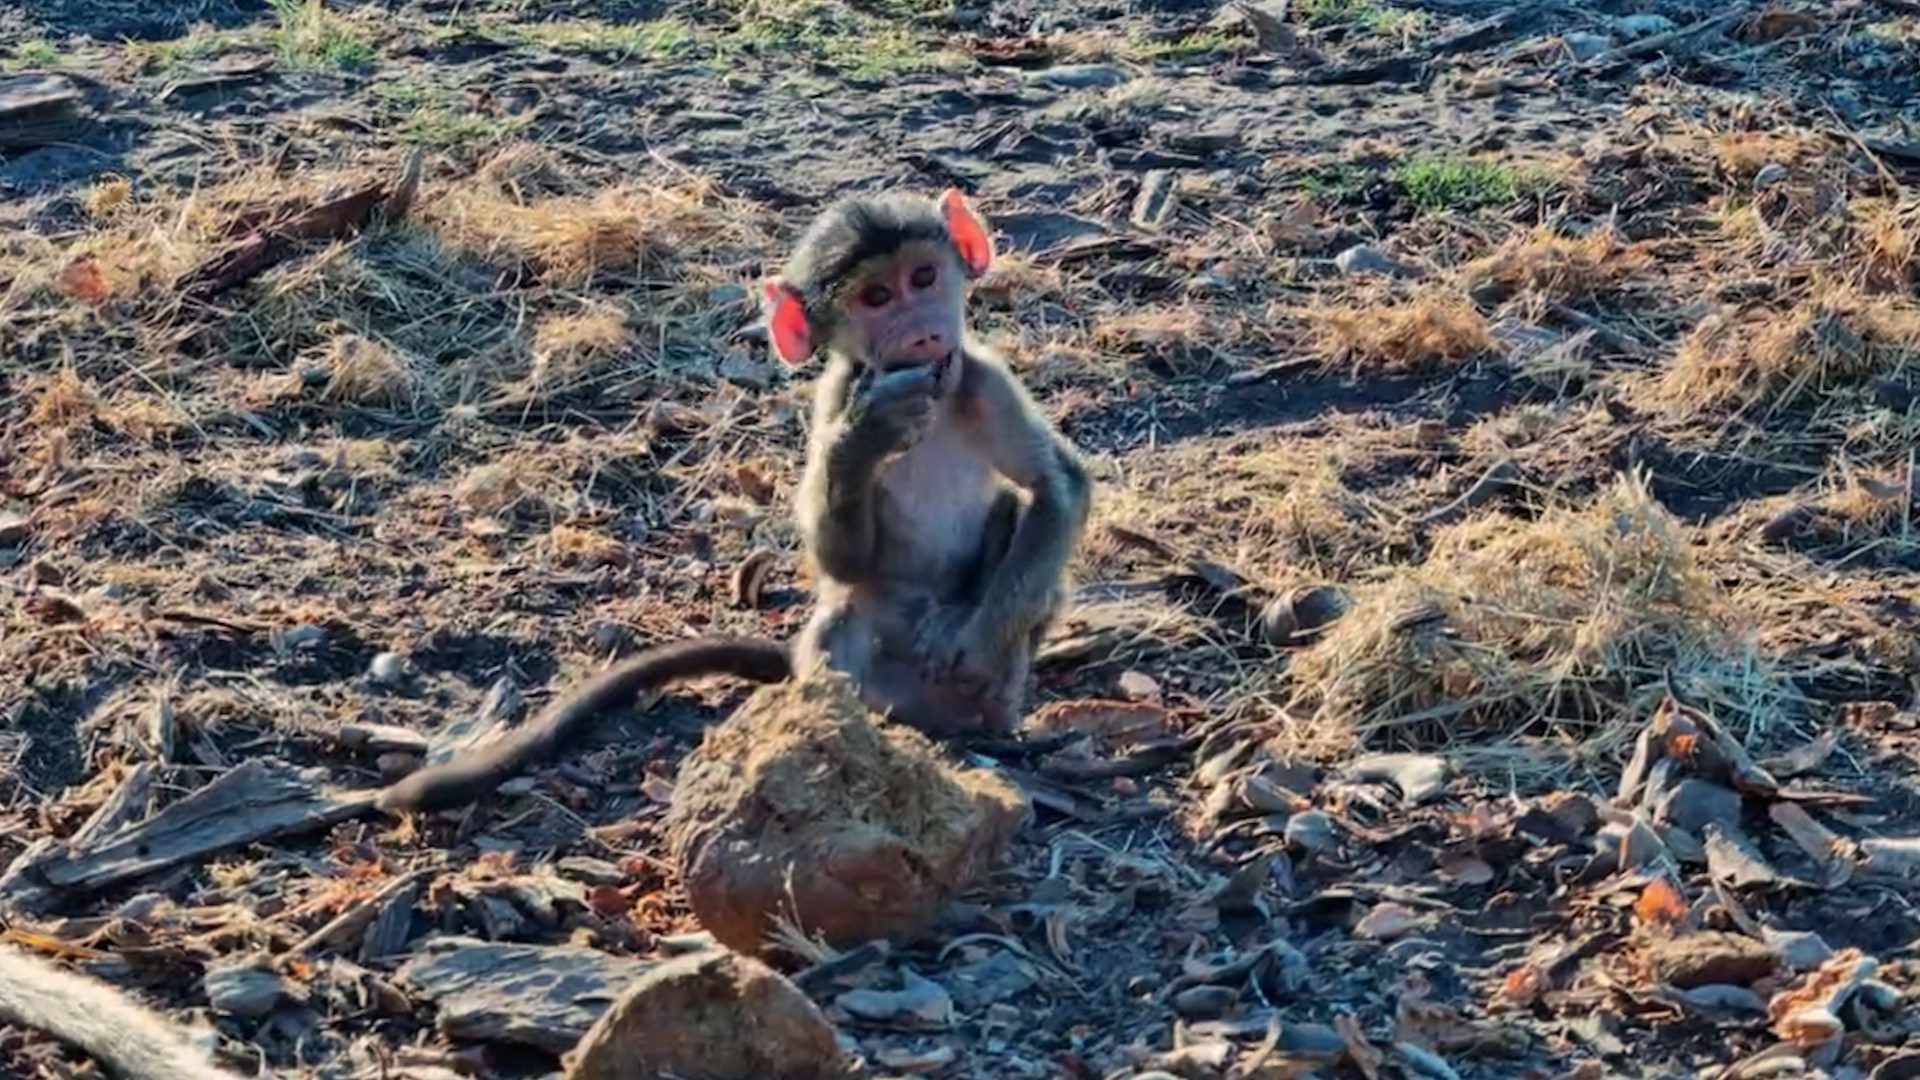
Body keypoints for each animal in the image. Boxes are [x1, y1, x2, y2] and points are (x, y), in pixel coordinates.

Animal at [373, 187, 1092, 816]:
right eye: (877, 296)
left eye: (924, 278)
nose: (920, 331)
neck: (932, 400)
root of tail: (927, 719)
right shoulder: (836, 395)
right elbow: (845, 561)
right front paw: (868, 437)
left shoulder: (982, 377)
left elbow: (1056, 486)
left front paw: (970, 639)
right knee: (844, 619)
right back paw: (853, 732)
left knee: (1025, 553)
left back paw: (997, 726)